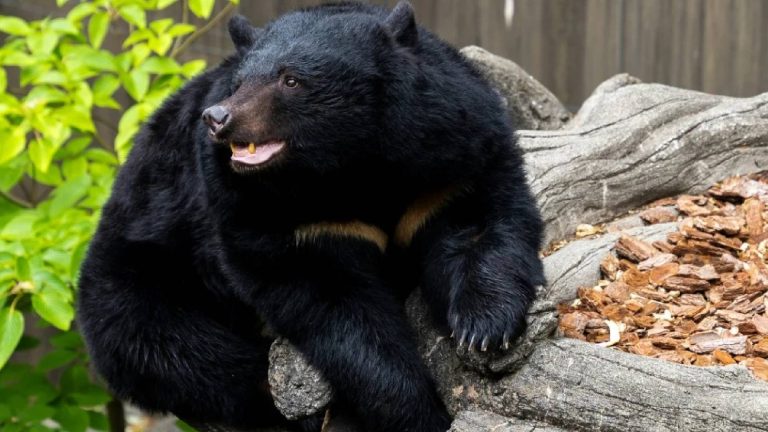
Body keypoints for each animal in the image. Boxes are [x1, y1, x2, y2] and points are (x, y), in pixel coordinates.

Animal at [76, 2, 545, 432]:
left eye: (291, 79)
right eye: (239, 82)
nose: (219, 117)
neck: (349, 166)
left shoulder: (447, 159)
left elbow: (479, 220)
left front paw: (485, 327)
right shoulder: (272, 214)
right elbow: (333, 306)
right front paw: (416, 411)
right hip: (139, 276)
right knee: (184, 353)